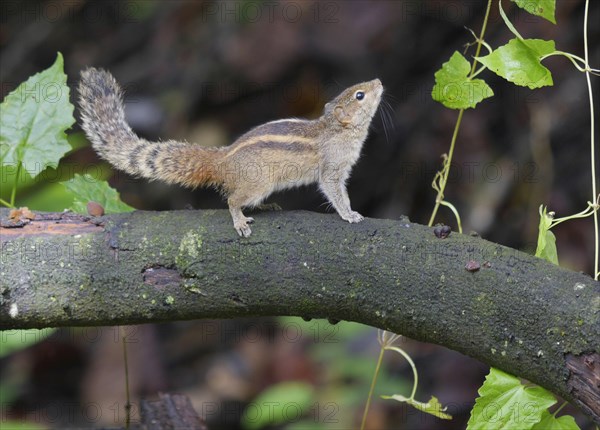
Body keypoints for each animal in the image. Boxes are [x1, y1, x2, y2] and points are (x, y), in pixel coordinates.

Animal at [77, 67, 382, 237]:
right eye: (359, 95)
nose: (378, 81)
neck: (337, 129)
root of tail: (222, 160)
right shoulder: (332, 170)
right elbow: (335, 194)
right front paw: (349, 214)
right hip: (258, 183)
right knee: (233, 200)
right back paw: (240, 221)